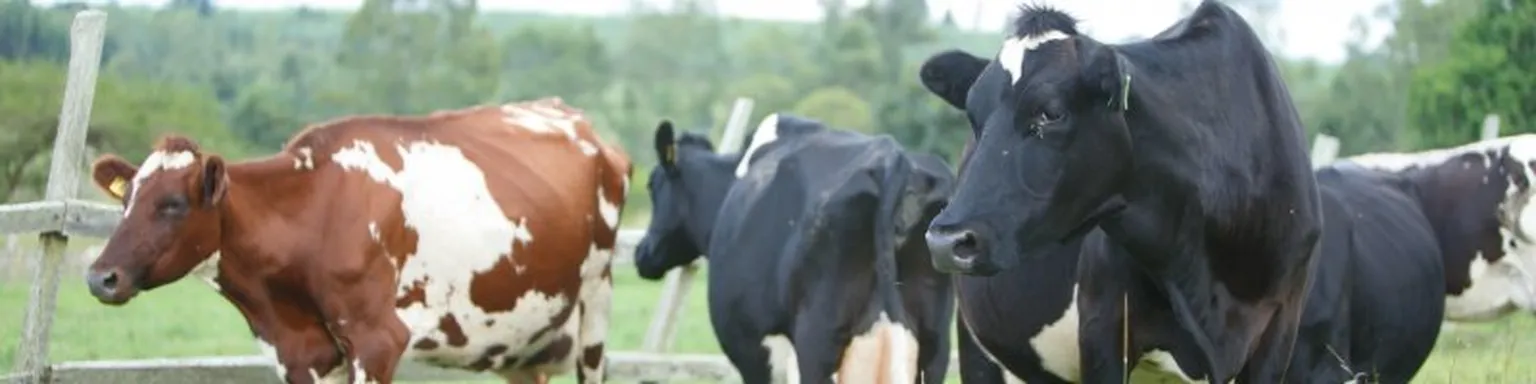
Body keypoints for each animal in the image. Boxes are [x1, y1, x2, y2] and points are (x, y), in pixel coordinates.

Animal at [76, 97, 629, 382]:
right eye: (126, 201)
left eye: (173, 204)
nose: (101, 277)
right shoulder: (301, 356)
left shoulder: (377, 342)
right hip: (523, 344)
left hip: (595, 315)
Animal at [629, 113, 952, 384]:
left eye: (652, 185)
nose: (642, 252)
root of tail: (892, 160)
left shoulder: (755, 353)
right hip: (935, 346)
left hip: (816, 345)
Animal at [915, 1, 1327, 382]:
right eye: (974, 117)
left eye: (1050, 112)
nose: (946, 240)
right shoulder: (1102, 327)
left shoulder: (1281, 324)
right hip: (977, 347)